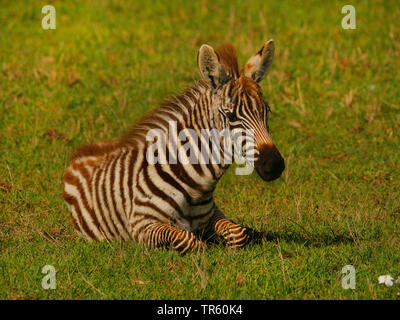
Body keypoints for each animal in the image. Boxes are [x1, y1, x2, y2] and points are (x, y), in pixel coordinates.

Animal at [63, 40, 284, 255]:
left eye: (267, 111)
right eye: (231, 116)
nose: (275, 165)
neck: (195, 187)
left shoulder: (213, 215)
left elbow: (239, 233)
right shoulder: (142, 224)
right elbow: (190, 241)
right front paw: (208, 244)